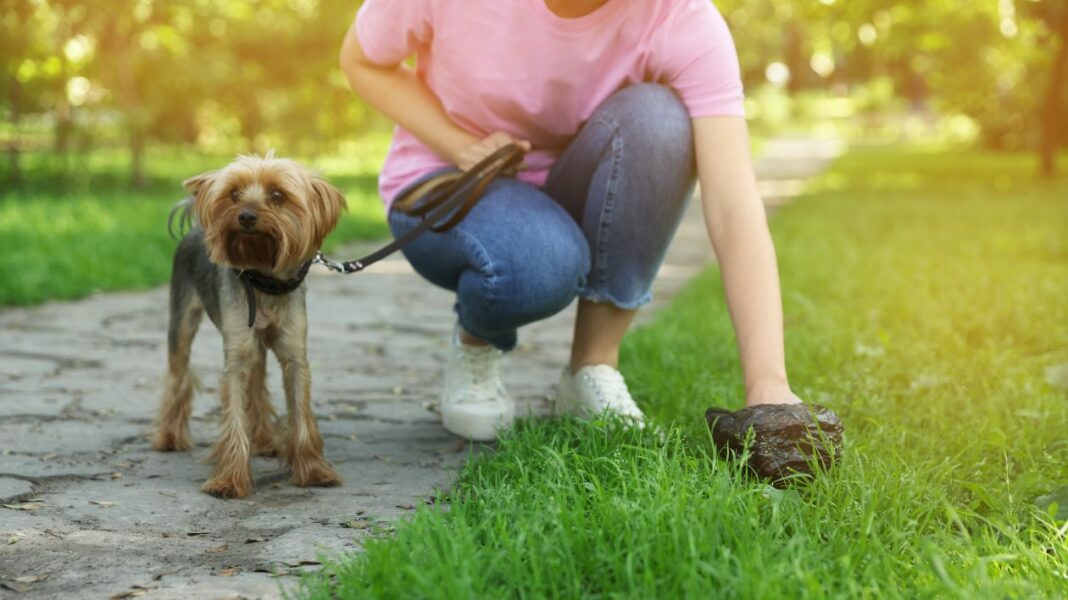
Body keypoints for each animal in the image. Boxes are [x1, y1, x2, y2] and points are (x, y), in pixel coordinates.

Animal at [152, 151, 346, 497]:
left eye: (278, 195)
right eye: (233, 194)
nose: (245, 216)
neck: (264, 280)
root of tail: (198, 227)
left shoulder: (294, 355)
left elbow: (300, 413)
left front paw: (313, 470)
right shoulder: (236, 355)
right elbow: (234, 413)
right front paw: (229, 480)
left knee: (256, 383)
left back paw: (264, 440)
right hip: (182, 318)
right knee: (178, 375)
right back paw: (169, 438)